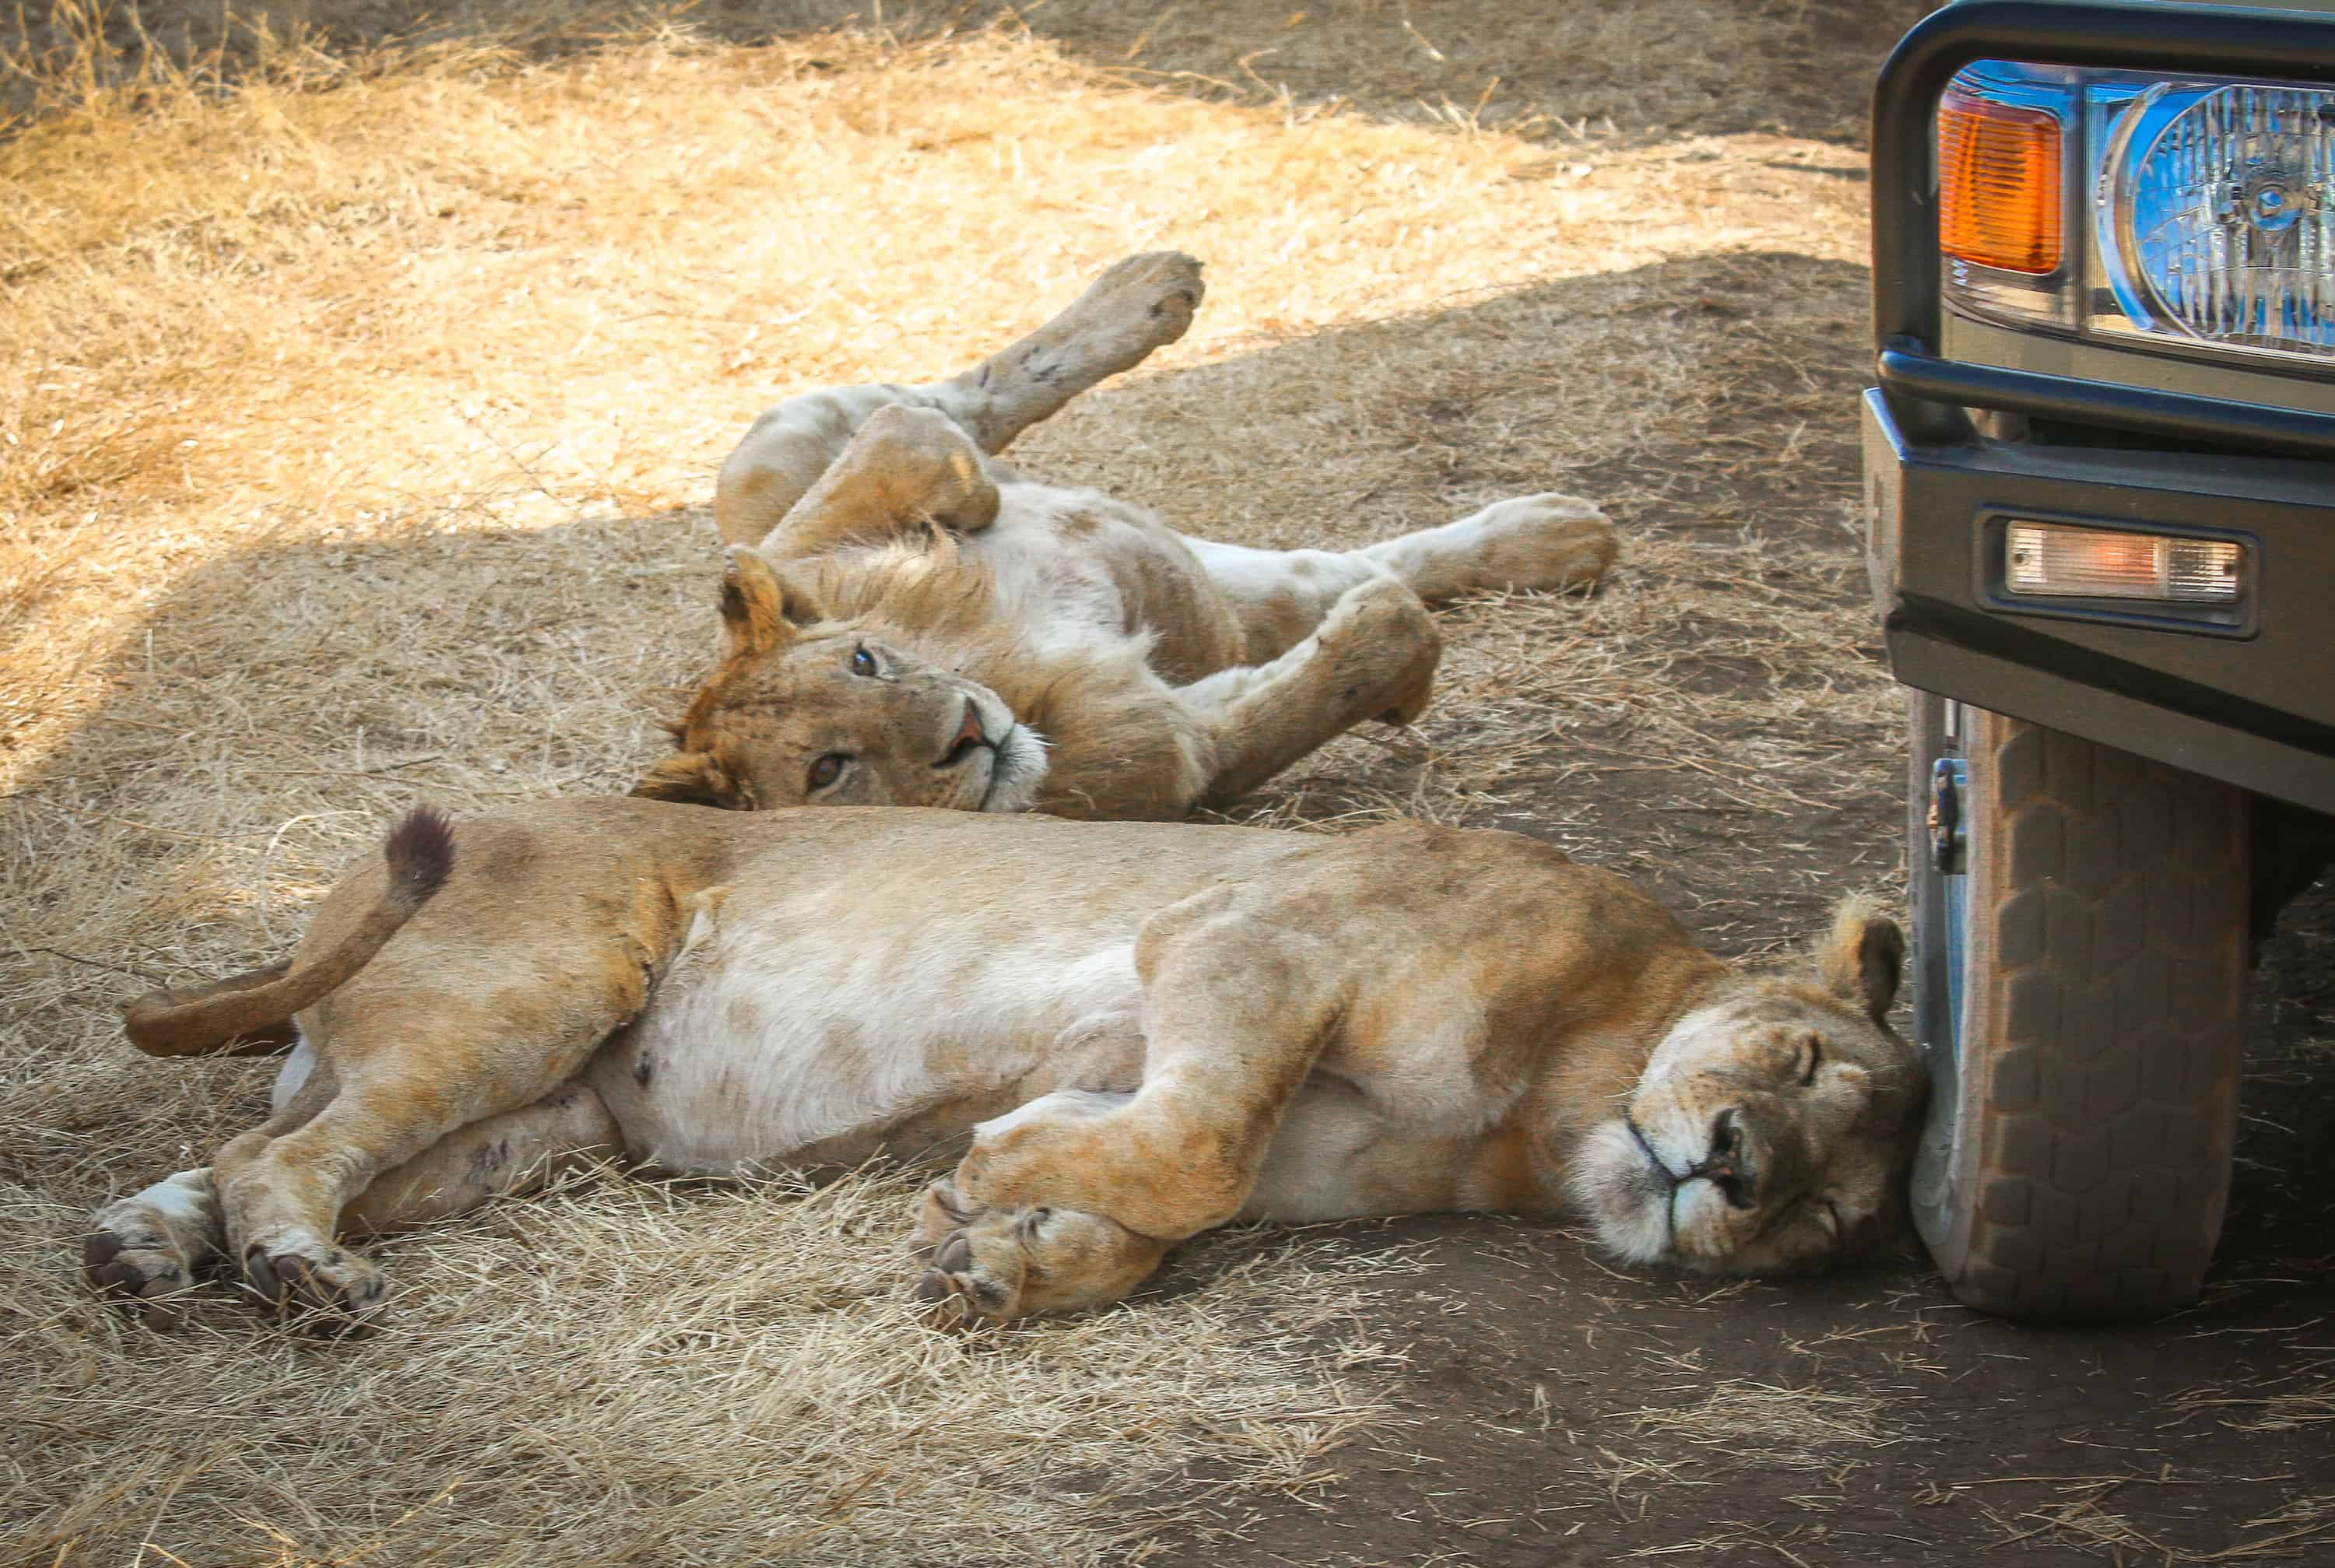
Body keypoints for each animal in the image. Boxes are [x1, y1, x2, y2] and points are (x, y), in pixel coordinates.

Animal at [86, 802, 1915, 1325]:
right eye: (1797, 1058)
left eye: (1829, 1223)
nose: (1740, 1168)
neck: (1550, 1112)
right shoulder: (1246, 943)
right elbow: (1199, 1158)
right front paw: (982, 1187)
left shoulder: (1199, 1058)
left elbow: (1165, 1208)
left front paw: (1002, 1257)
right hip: (541, 980)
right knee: (281, 1155)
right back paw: (293, 1272)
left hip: (539, 1127)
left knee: (280, 1142)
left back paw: (144, 1248)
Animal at [640, 254, 1625, 821]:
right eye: (828, 768)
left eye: (864, 662)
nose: (968, 732)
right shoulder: (1179, 743)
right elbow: (1351, 662)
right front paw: (1395, 665)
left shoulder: (810, 543)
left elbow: (914, 441)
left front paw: (970, 494)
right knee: (1333, 571)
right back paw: (1565, 539)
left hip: (763, 451)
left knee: (963, 397)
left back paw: (1150, 287)